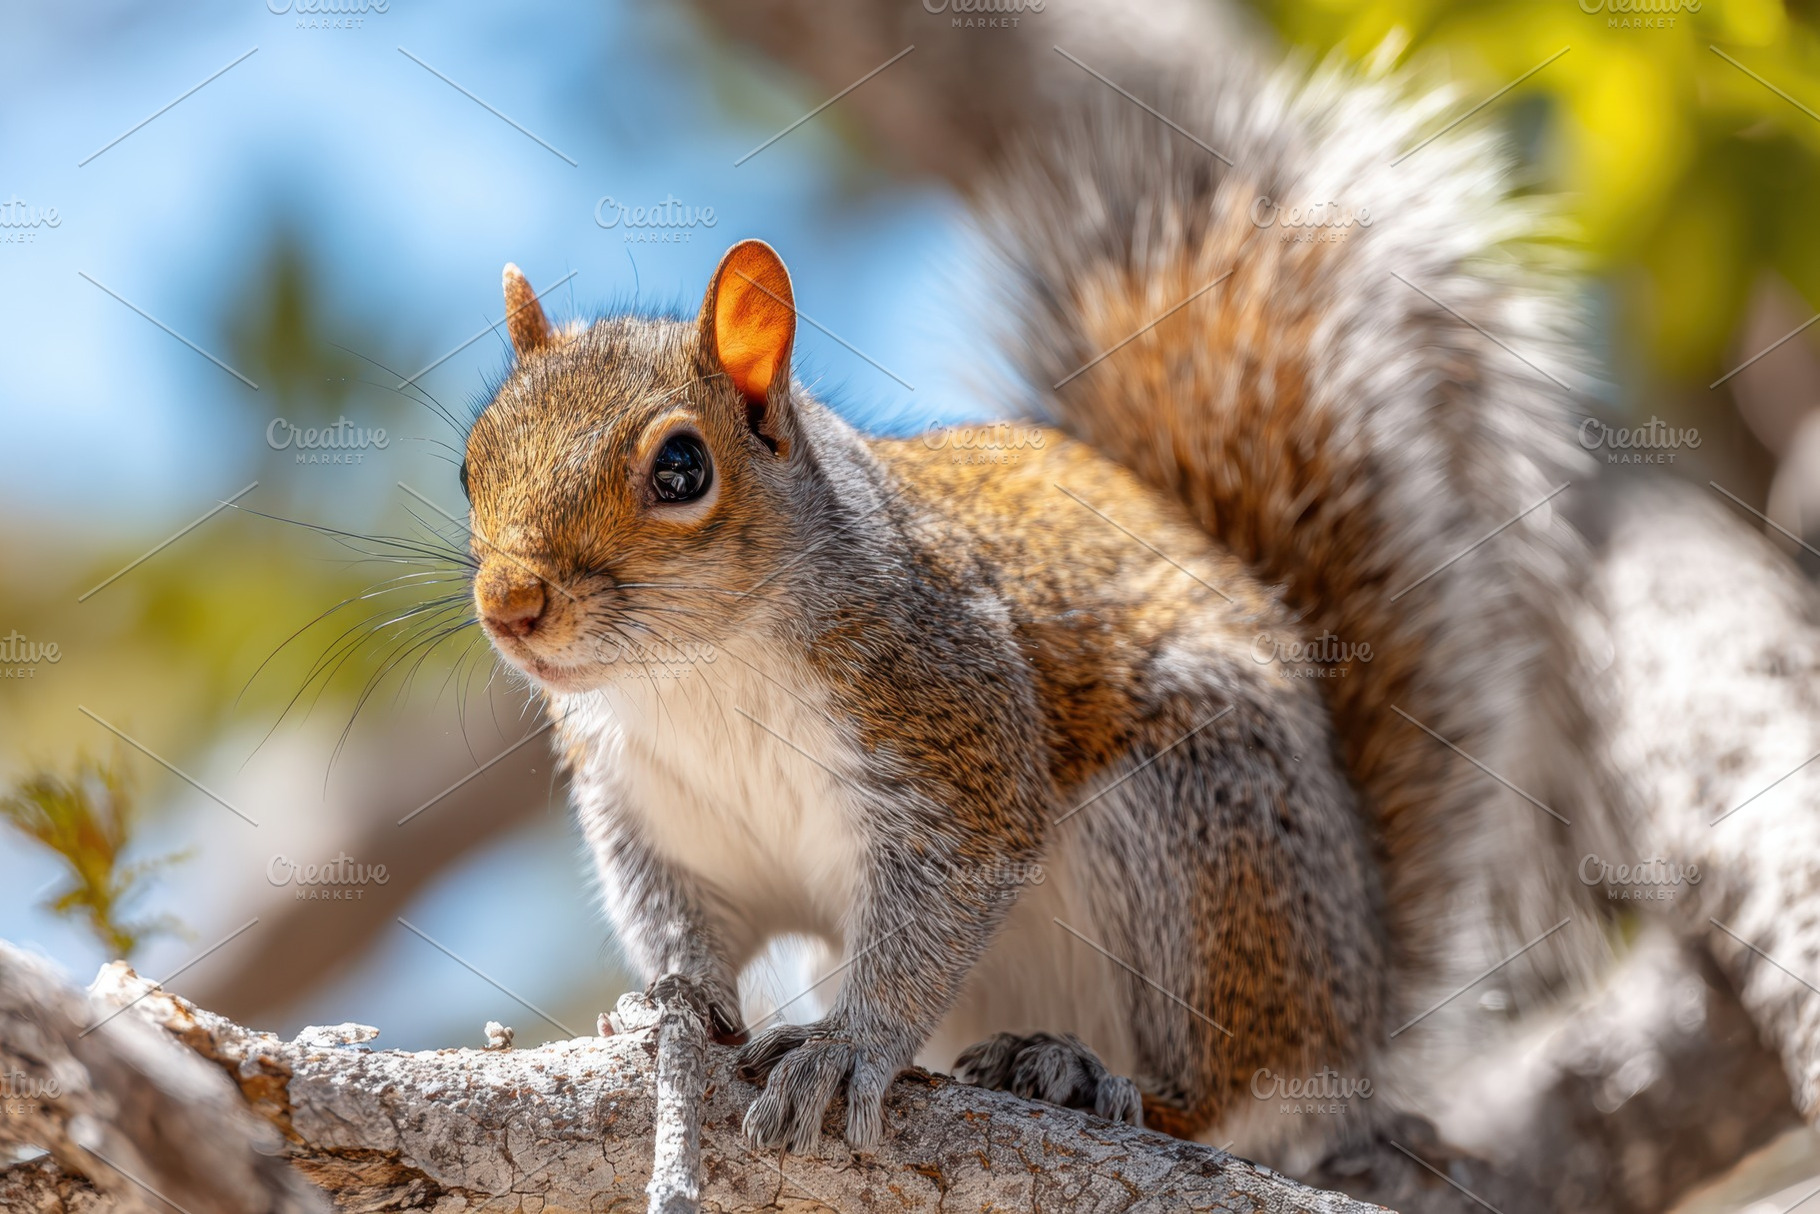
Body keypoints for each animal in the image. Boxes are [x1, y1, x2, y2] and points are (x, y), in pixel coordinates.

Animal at [460, 58, 1611, 1166]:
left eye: (681, 468)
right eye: (471, 464)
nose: (509, 604)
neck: (697, 669)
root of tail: (1362, 1006)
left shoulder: (951, 722)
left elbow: (941, 905)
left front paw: (846, 1048)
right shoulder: (663, 822)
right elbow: (683, 926)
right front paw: (667, 1005)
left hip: (1200, 830)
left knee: (1232, 1081)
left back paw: (1091, 1075)